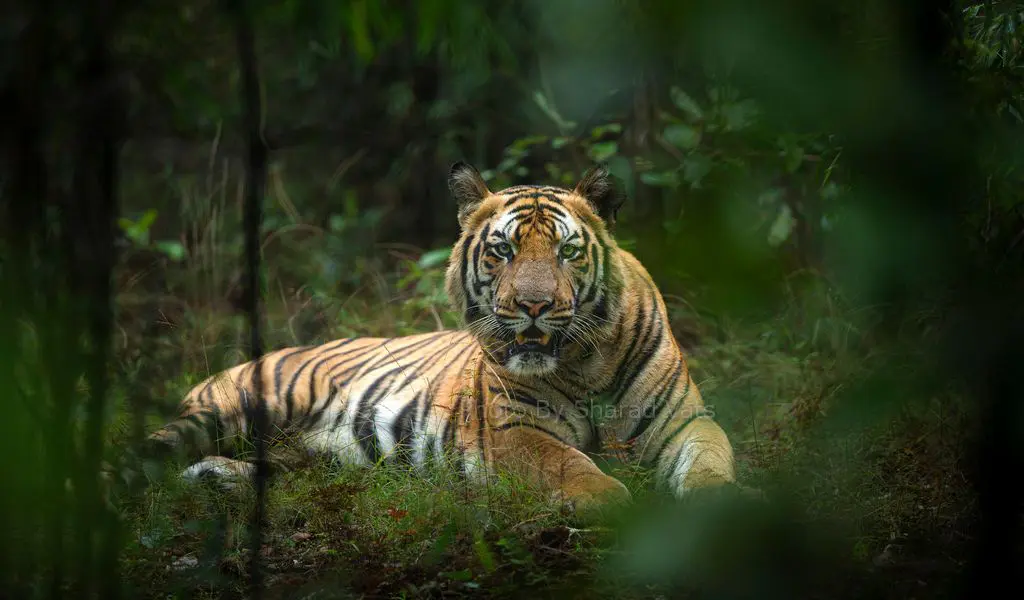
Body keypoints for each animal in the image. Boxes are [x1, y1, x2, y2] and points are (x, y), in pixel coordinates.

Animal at [133, 162, 737, 514]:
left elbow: (710, 460)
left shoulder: (686, 421)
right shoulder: (516, 432)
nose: (534, 306)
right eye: (502, 250)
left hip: (310, 457)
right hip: (229, 409)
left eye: (567, 251)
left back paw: (217, 480)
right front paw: (615, 502)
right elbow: (571, 466)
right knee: (148, 454)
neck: (585, 363)